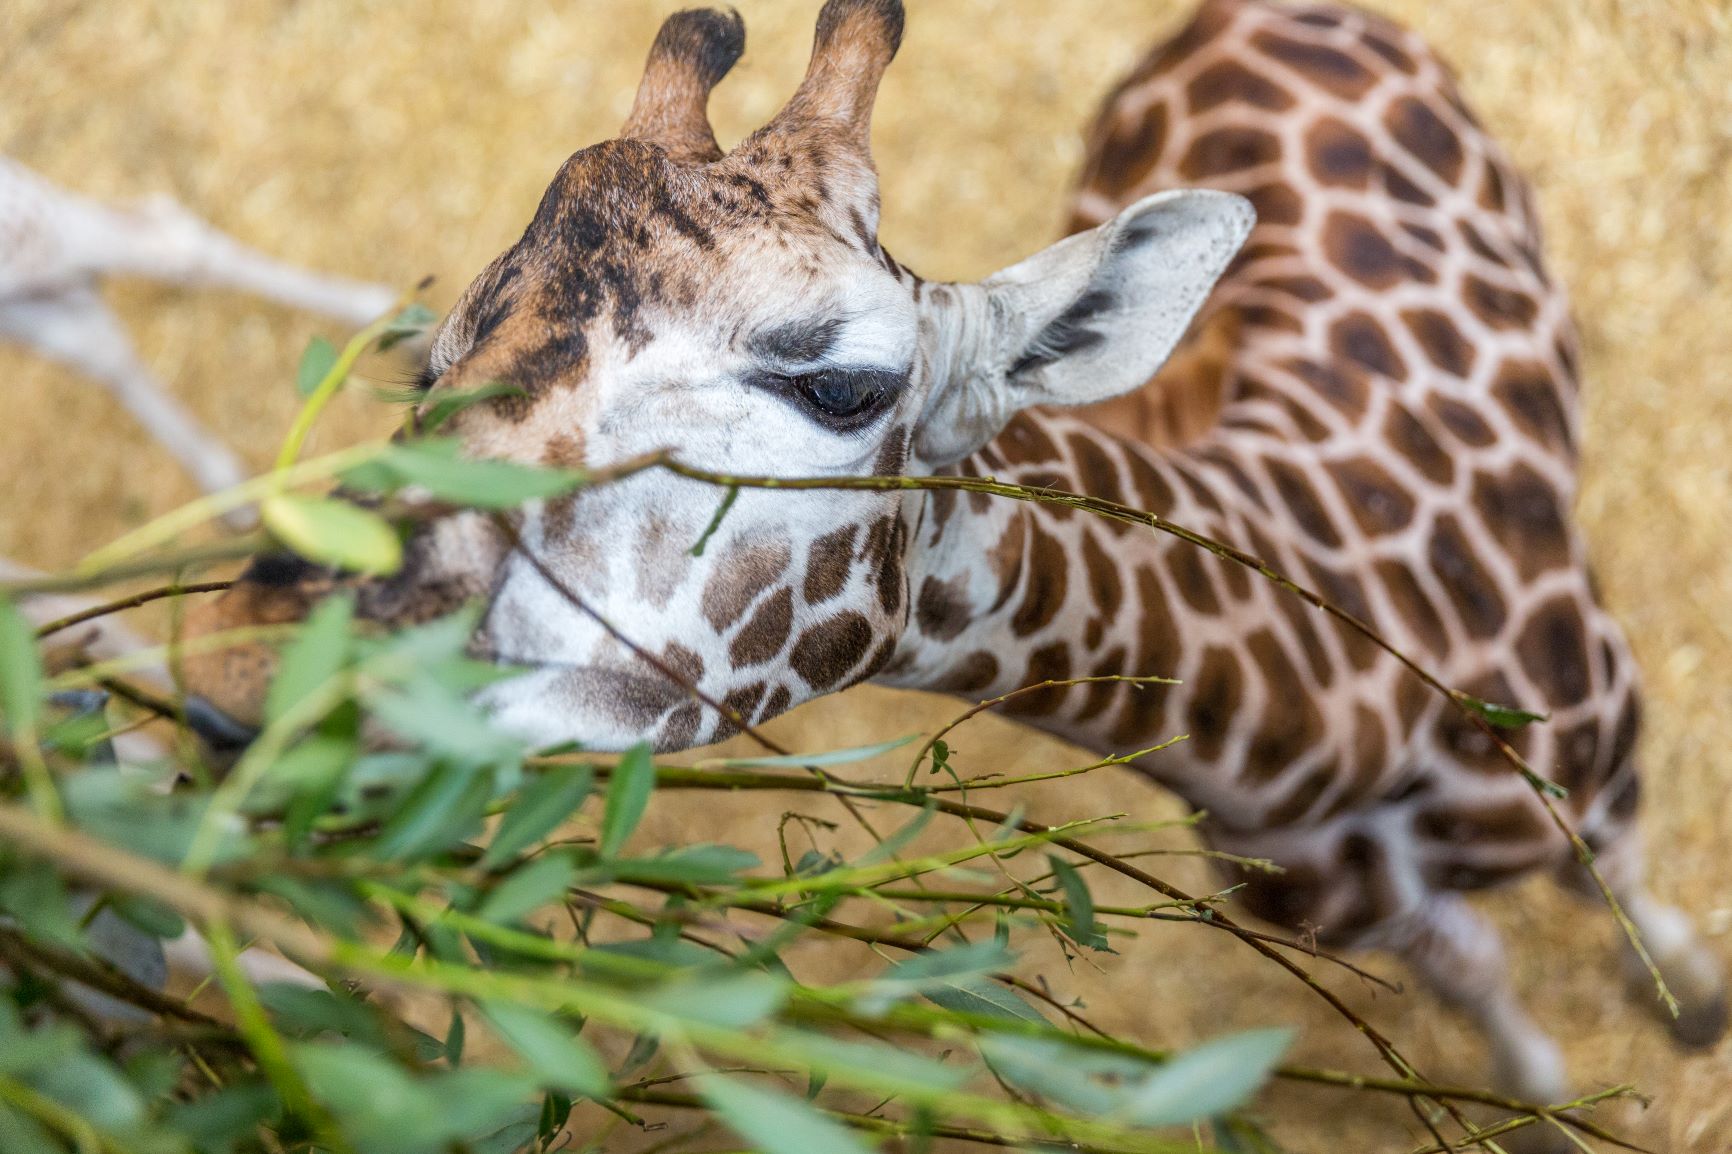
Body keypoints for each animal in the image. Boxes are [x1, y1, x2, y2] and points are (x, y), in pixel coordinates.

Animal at [182, 0, 1725, 1108]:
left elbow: (1619, 874)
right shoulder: (1337, 899)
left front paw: (1689, 1009)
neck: (1325, 746)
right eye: (432, 371)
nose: (243, 684)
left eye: (840, 382)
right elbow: (1475, 965)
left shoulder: (1609, 735)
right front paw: (1559, 1085)